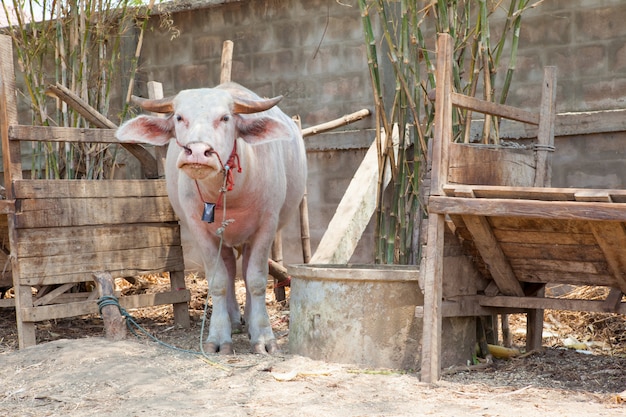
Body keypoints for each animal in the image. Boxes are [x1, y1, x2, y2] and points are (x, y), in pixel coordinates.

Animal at [116, 82, 306, 354]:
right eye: (179, 117)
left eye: (225, 118)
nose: (196, 152)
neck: (230, 194)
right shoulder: (199, 229)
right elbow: (218, 282)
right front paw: (218, 337)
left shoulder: (267, 225)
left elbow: (256, 280)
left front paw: (263, 336)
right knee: (229, 267)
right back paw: (233, 320)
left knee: (245, 270)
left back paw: (248, 321)